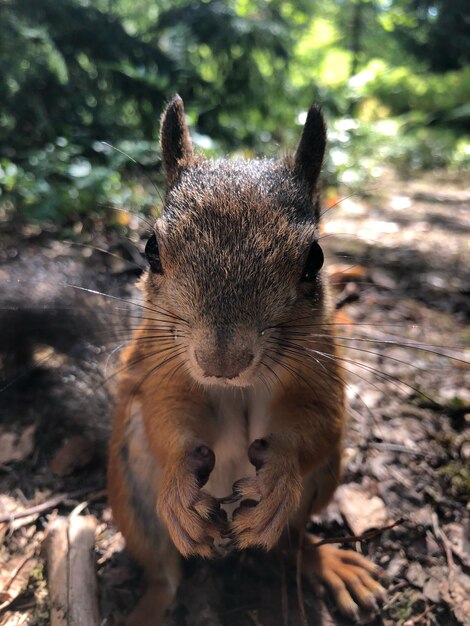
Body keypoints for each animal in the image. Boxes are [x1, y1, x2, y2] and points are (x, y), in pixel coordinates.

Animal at [106, 95, 386, 620]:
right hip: (131, 497)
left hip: (323, 482)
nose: (222, 362)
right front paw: (179, 483)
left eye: (315, 259)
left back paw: (323, 560)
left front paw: (279, 474)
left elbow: (320, 421)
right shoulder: (162, 364)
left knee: (291, 539)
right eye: (151, 249)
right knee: (164, 573)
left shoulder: (319, 368)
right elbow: (166, 414)